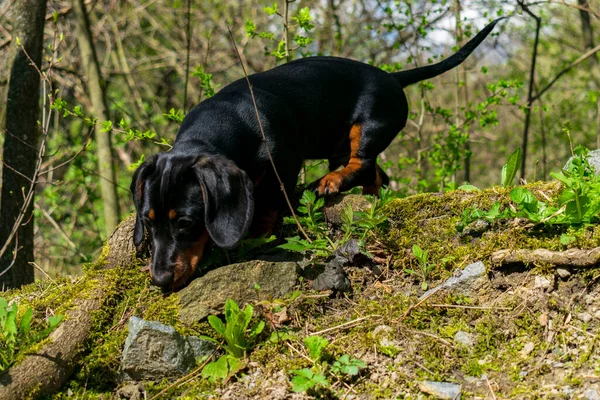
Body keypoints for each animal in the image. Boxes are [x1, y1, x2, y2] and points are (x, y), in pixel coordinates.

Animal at [132, 18, 506, 290]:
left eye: (185, 223)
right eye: (148, 223)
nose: (160, 281)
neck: (226, 119)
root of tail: (392, 77)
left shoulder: (283, 160)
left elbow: (270, 198)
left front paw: (258, 232)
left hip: (366, 128)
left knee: (362, 163)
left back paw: (329, 182)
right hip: (338, 144)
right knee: (376, 175)